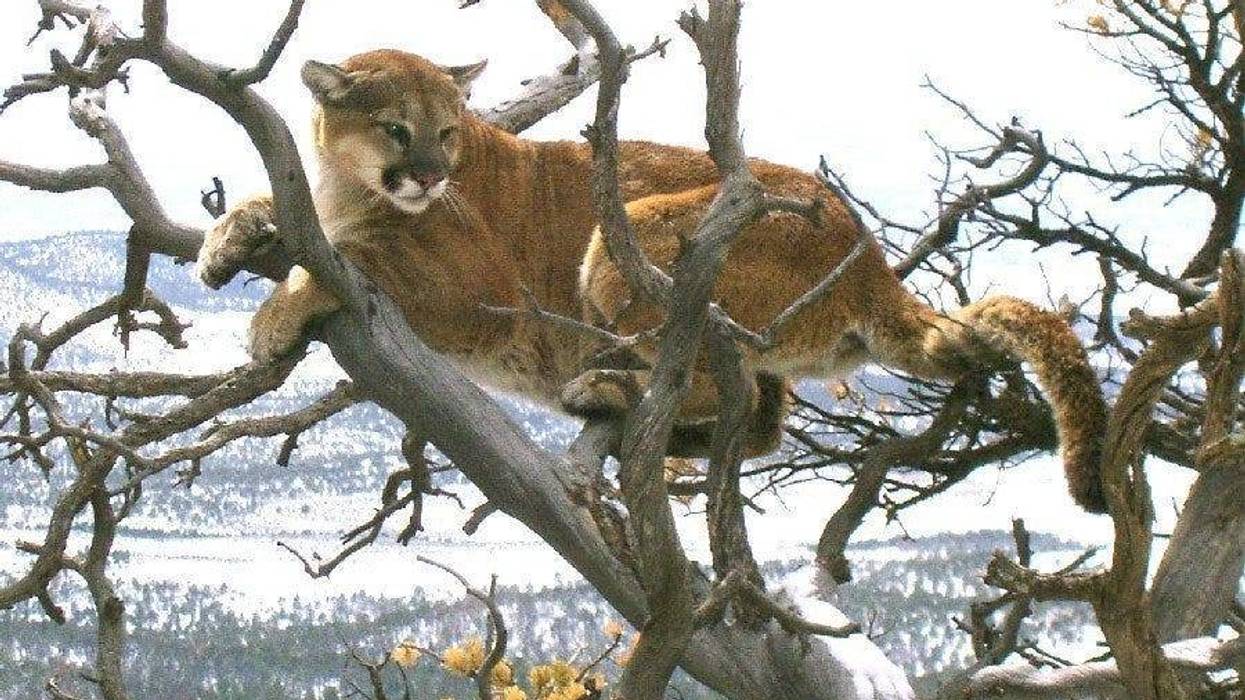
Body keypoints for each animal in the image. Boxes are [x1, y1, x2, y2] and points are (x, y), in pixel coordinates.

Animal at [195, 49, 1109, 512]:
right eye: (396, 128)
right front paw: (225, 237)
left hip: (629, 239)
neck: (345, 185)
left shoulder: (479, 294)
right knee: (761, 419)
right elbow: (282, 215)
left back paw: (608, 391)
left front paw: (273, 316)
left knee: (704, 378)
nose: (425, 175)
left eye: (448, 133)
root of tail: (869, 253)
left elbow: (355, 260)